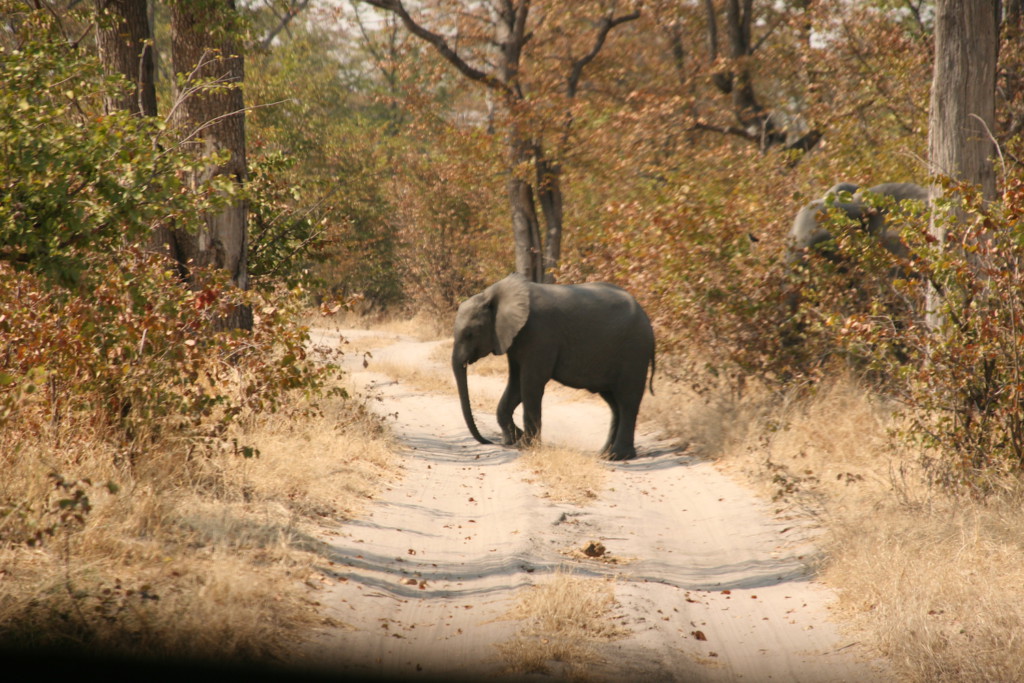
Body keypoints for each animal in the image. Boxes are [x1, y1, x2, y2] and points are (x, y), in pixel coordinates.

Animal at [450, 274, 655, 462]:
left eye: (469, 334)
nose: (488, 441)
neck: (491, 294)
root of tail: (648, 321)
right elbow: (516, 385)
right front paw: (514, 439)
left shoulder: (539, 334)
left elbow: (531, 384)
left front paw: (525, 445)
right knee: (614, 403)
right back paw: (605, 454)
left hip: (634, 352)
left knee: (627, 401)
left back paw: (619, 456)